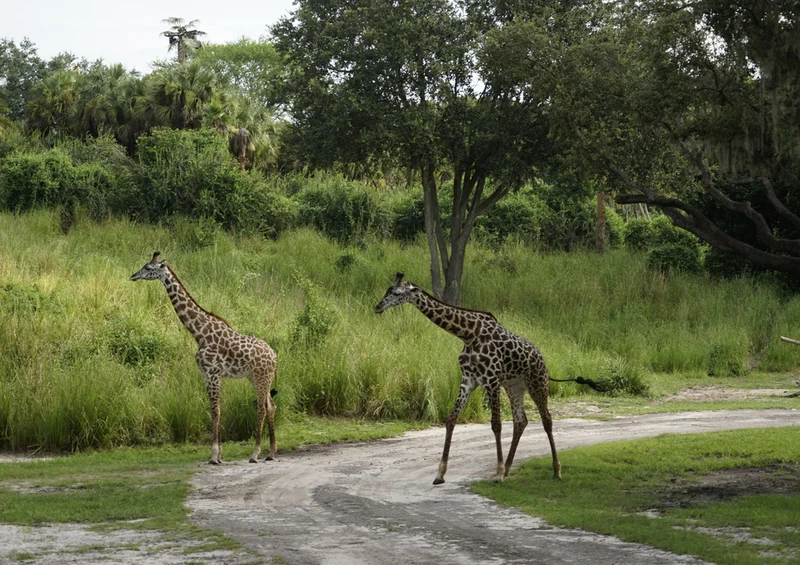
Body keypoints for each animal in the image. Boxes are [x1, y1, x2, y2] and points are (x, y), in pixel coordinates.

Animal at [131, 252, 278, 465]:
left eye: (148, 268)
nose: (133, 276)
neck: (199, 333)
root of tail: (274, 355)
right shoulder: (206, 375)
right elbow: (214, 410)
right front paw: (219, 455)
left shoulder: (213, 373)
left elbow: (216, 411)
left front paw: (214, 456)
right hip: (256, 377)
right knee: (270, 406)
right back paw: (271, 452)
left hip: (261, 377)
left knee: (261, 408)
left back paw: (255, 453)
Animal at [374, 272, 604, 485]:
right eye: (387, 290)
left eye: (397, 293)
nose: (377, 307)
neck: (468, 334)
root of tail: (542, 359)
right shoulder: (469, 380)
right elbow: (451, 420)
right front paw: (440, 474)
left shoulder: (491, 380)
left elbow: (496, 425)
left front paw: (498, 473)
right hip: (514, 386)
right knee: (521, 420)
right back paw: (509, 468)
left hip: (537, 383)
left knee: (547, 420)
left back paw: (555, 470)